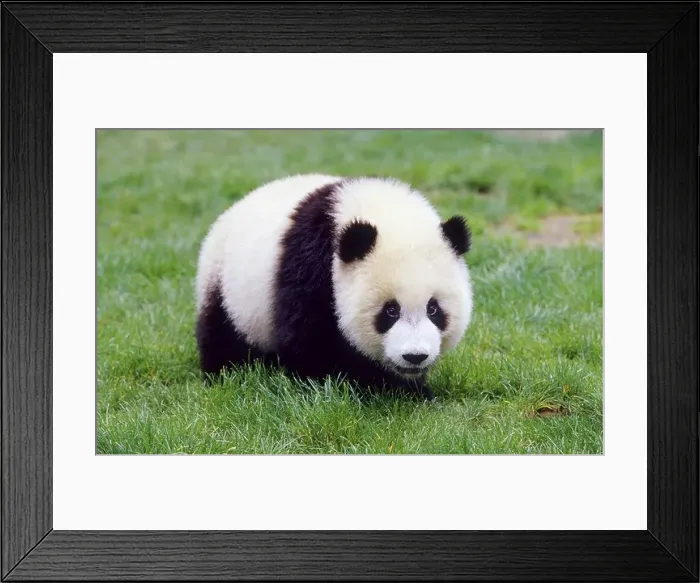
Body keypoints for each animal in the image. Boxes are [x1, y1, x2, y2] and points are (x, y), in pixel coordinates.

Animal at [194, 173, 474, 400]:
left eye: (434, 309)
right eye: (390, 311)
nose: (415, 356)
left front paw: (410, 389)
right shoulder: (311, 266)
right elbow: (309, 339)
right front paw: (367, 386)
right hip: (226, 284)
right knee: (222, 333)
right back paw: (224, 373)